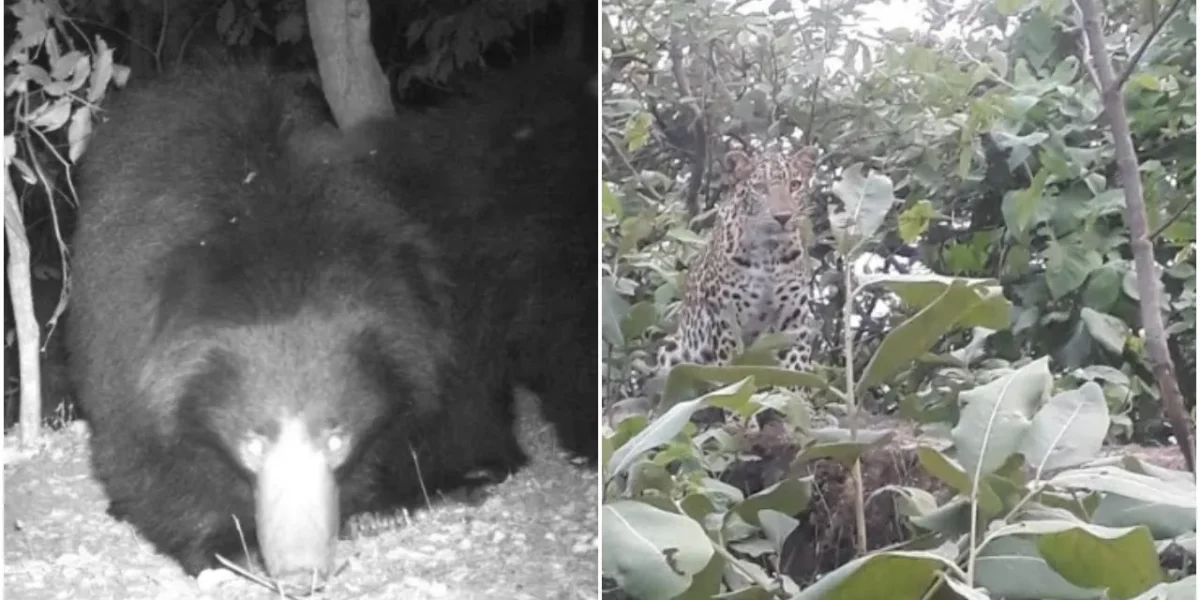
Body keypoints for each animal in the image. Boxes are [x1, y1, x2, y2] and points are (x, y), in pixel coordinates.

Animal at [66, 64, 544, 590]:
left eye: (338, 439)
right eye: (253, 442)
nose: (299, 572)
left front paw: (363, 514)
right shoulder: (124, 320)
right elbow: (146, 452)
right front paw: (231, 546)